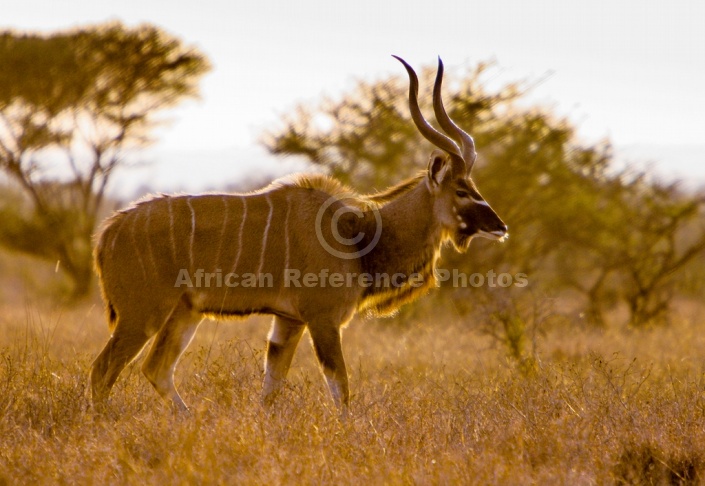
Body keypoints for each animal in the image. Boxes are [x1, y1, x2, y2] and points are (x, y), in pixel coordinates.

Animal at [89, 58, 506, 414]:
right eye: (462, 190)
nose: (500, 227)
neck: (357, 233)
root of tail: (108, 232)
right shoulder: (323, 320)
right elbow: (340, 389)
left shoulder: (288, 322)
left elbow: (271, 391)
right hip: (143, 314)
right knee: (102, 371)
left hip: (184, 312)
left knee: (155, 369)